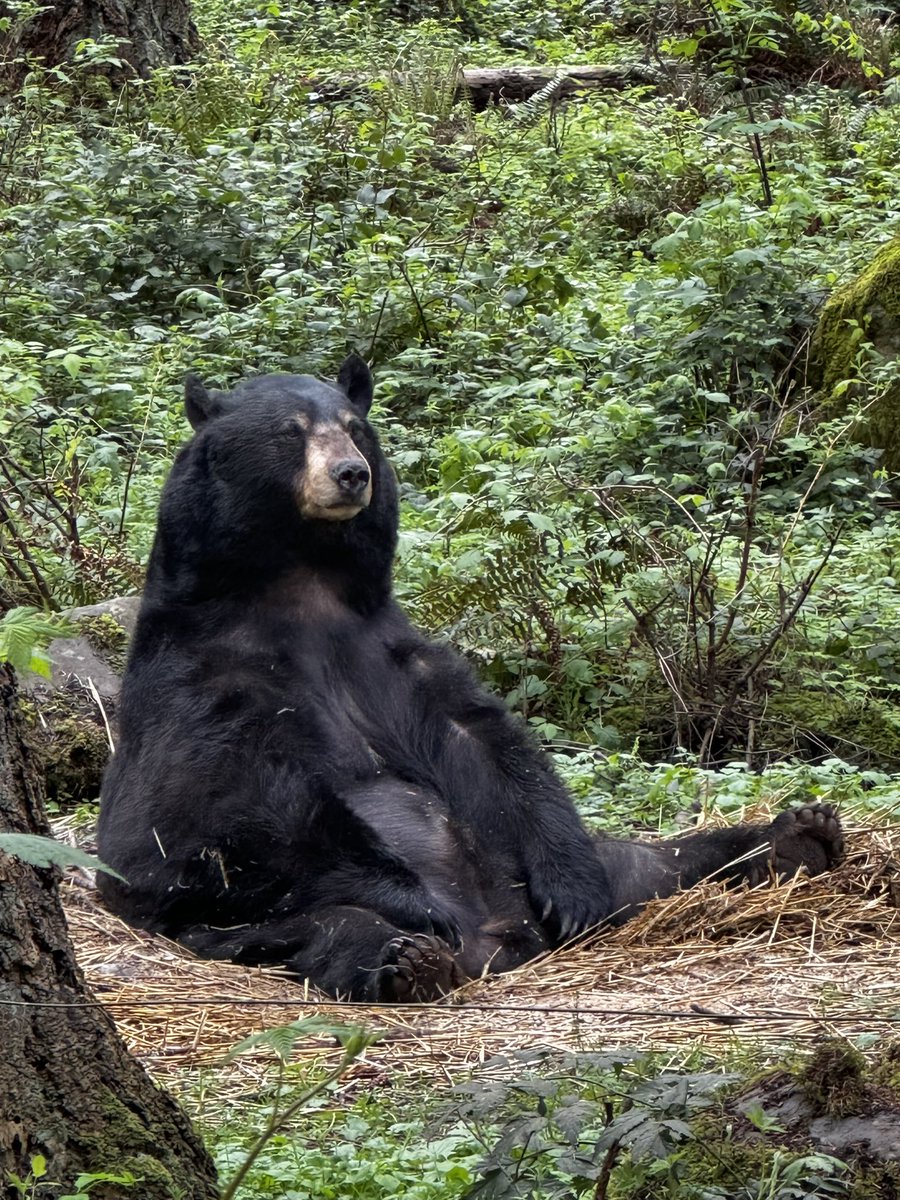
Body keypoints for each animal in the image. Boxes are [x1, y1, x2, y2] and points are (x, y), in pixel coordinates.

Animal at [97, 355, 844, 1003]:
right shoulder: (205, 673)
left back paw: (798, 835)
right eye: (291, 432)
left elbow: (485, 742)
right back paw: (410, 959)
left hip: (584, 868)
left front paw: (571, 891)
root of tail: (503, 940)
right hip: (238, 928)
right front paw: (414, 904)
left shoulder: (383, 649)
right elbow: (236, 809)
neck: (301, 582)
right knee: (330, 926)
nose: (351, 474)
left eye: (355, 425)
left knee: (659, 862)